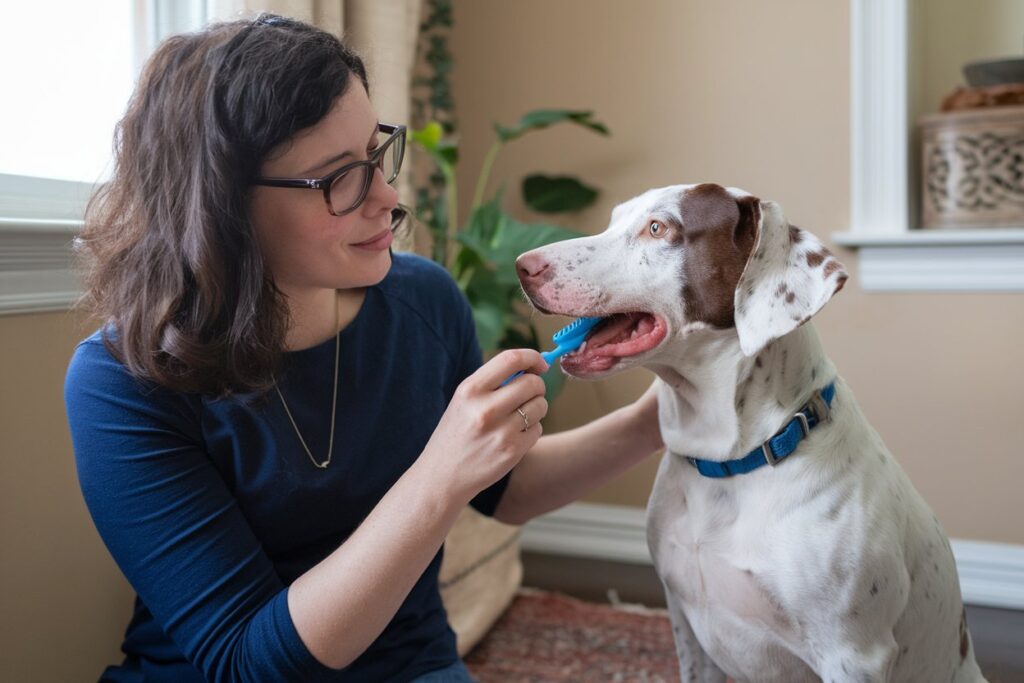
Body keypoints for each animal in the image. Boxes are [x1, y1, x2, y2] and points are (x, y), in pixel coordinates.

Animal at [516, 183, 987, 683]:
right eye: (612, 220)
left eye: (659, 228)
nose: (523, 266)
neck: (730, 463)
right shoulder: (684, 623)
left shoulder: (853, 656)